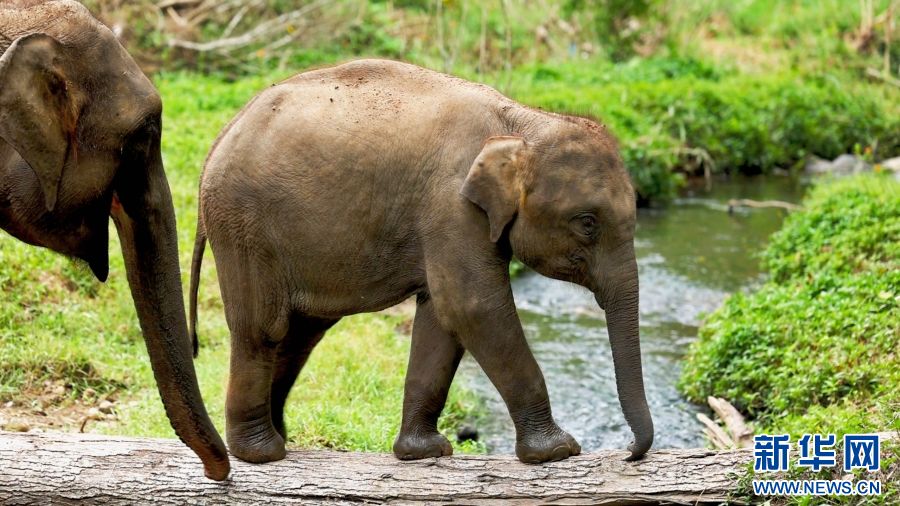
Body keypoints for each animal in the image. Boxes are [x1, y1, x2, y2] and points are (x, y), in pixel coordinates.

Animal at [192, 59, 652, 466]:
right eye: (588, 223)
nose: (629, 452)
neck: (523, 123)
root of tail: (217, 141)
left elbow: (442, 319)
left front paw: (423, 452)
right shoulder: (451, 206)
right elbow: (474, 307)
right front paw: (558, 451)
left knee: (301, 332)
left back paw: (280, 439)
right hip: (243, 225)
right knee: (263, 328)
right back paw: (262, 453)